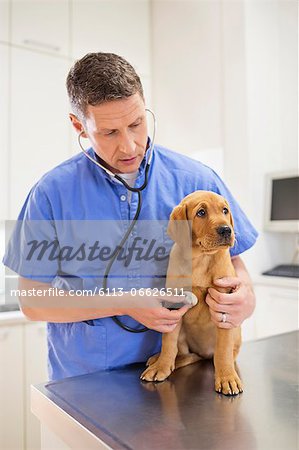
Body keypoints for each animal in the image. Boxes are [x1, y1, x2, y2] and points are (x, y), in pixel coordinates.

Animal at [141, 192, 244, 396]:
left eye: (225, 210)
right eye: (201, 212)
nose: (226, 230)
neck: (202, 258)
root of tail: (203, 352)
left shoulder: (224, 303)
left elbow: (223, 350)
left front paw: (227, 378)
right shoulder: (173, 302)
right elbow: (168, 341)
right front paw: (161, 367)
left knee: (216, 354)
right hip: (183, 335)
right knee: (182, 353)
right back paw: (160, 360)